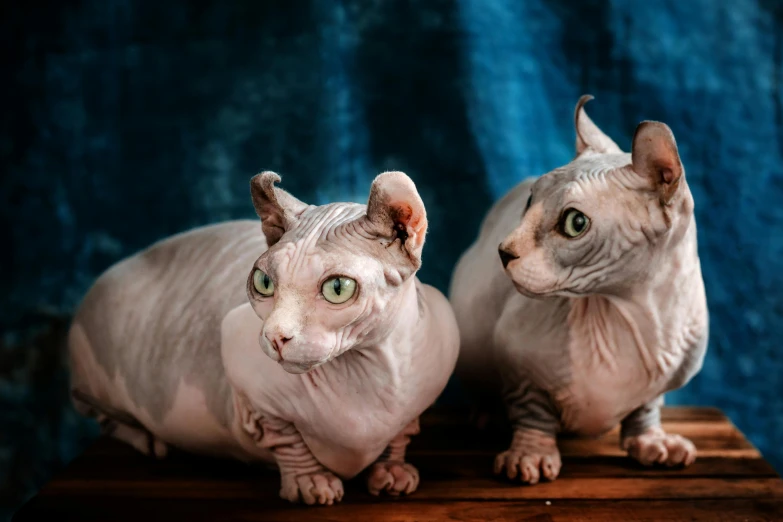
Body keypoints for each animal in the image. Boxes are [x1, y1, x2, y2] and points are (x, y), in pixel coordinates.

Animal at [69, 172, 460, 504]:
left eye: (338, 288)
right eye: (263, 282)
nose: (274, 336)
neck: (368, 372)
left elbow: (402, 430)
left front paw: (392, 468)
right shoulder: (248, 379)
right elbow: (286, 437)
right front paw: (309, 482)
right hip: (91, 375)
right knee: (102, 417)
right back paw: (148, 440)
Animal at [448, 96, 712, 484]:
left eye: (575, 223)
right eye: (530, 202)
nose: (504, 252)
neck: (633, 314)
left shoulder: (662, 383)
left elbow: (646, 407)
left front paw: (652, 442)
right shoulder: (518, 364)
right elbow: (532, 411)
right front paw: (530, 455)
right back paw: (487, 415)